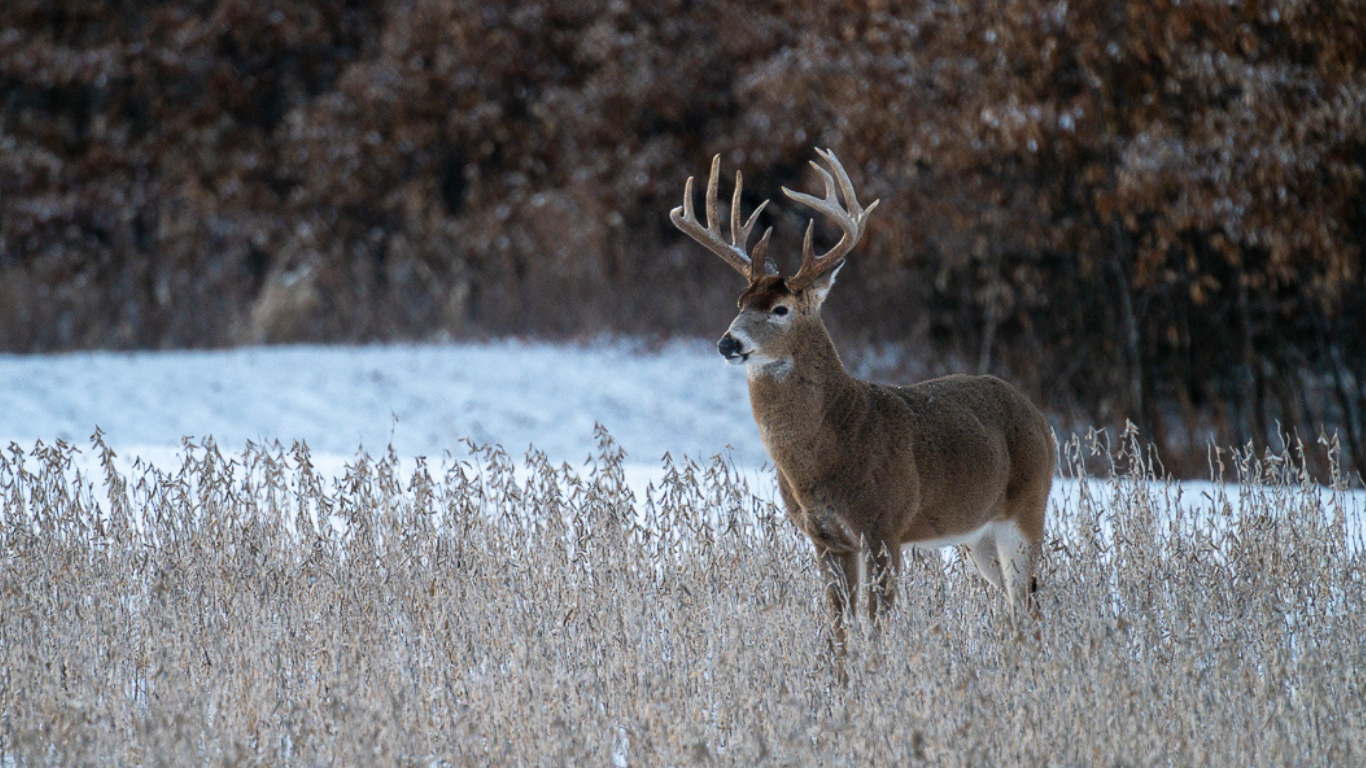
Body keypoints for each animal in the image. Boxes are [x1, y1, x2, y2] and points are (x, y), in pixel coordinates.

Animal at [670, 149, 1056, 653]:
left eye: (780, 309)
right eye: (740, 302)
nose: (727, 343)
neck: (832, 446)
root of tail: (1040, 418)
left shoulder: (885, 524)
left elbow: (877, 625)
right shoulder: (827, 538)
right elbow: (840, 627)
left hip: (1026, 511)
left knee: (1027, 604)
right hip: (980, 536)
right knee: (1018, 606)